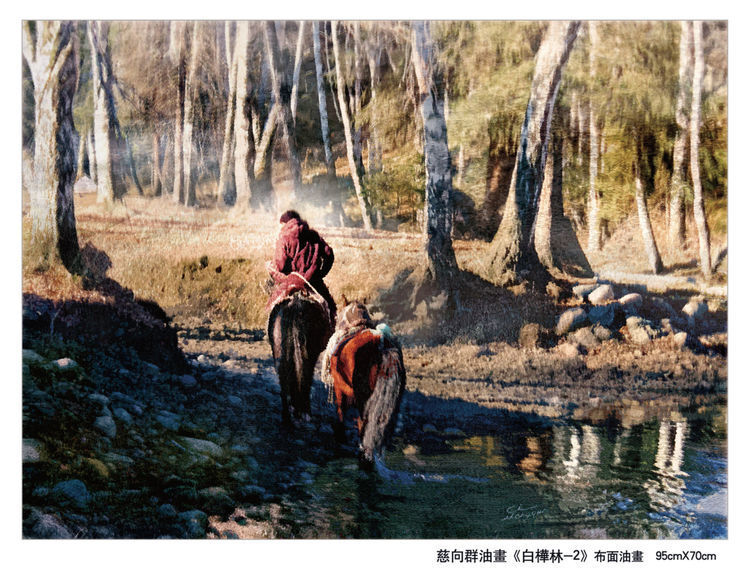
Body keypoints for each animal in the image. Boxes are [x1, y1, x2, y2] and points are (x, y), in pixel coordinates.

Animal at [268, 279, 332, 426]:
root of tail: (295, 305)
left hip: (279, 350)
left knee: (284, 379)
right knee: (304, 375)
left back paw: (287, 418)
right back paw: (303, 413)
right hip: (307, 351)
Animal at [322, 302, 406, 470]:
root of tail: (383, 344)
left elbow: (340, 411)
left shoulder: (339, 388)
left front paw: (340, 435)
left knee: (363, 424)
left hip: (363, 399)